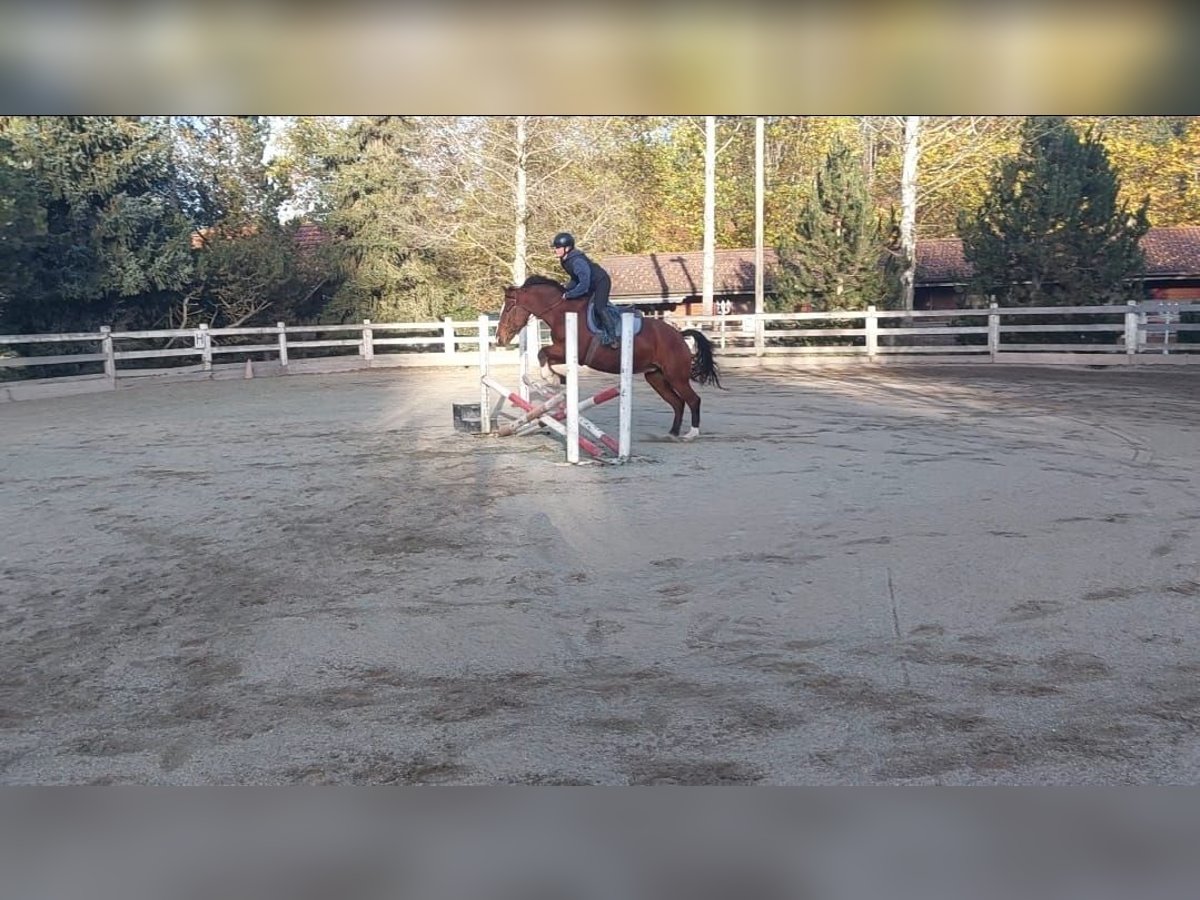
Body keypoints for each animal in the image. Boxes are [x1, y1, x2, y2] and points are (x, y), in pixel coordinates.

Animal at [489, 277, 715, 441]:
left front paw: (551, 378)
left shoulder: (573, 351)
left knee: (693, 400)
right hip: (656, 377)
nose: (499, 338)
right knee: (677, 403)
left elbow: (543, 353)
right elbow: (546, 357)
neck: (561, 311)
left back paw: (691, 434)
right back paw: (672, 433)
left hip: (676, 376)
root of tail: (679, 335)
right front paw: (557, 379)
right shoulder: (563, 351)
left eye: (507, 308)